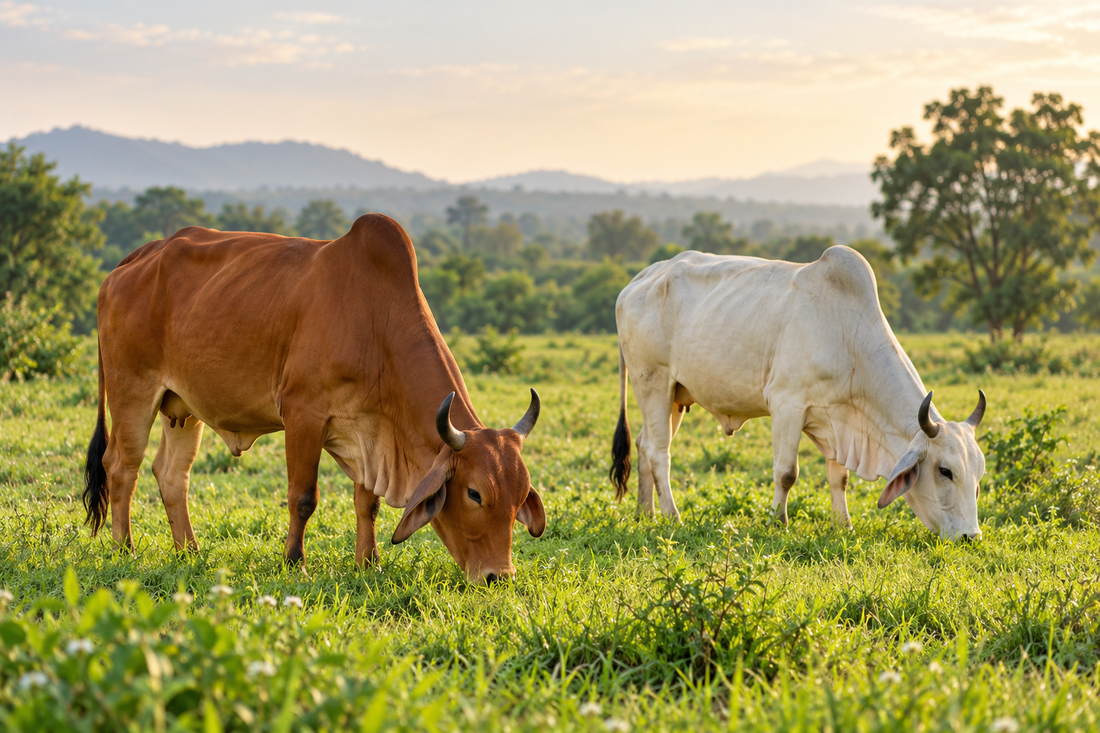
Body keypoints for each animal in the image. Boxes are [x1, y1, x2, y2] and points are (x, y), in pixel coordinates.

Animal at [82, 214, 546, 583]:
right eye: (474, 494)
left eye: (521, 495)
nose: (499, 577)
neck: (375, 323)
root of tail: (137, 257)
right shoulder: (303, 415)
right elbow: (303, 498)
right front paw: (294, 563)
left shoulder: (370, 433)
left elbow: (368, 503)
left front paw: (369, 563)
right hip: (132, 391)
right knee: (122, 468)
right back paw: (125, 550)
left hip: (182, 407)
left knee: (171, 474)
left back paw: (189, 552)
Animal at [609, 246, 986, 540]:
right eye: (945, 471)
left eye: (979, 476)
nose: (971, 536)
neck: (848, 335)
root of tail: (639, 279)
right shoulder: (786, 405)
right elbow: (787, 472)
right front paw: (779, 522)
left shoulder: (839, 418)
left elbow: (839, 477)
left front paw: (844, 524)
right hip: (652, 383)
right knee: (659, 453)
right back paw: (672, 516)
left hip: (675, 396)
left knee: (643, 444)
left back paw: (645, 513)